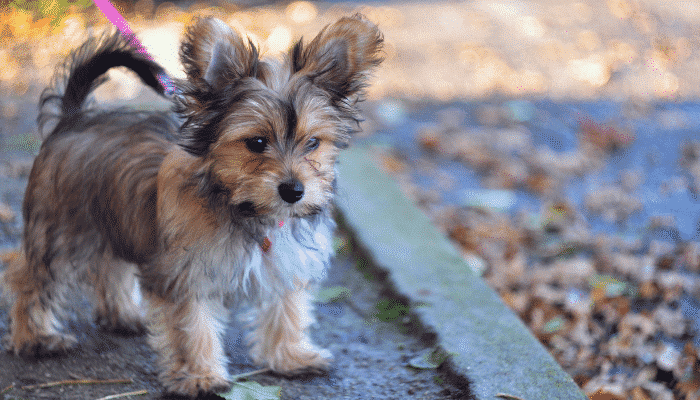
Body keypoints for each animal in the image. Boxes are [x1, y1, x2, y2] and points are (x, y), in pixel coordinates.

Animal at [2, 15, 382, 396]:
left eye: (313, 143)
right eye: (257, 142)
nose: (293, 191)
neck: (245, 208)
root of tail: (73, 119)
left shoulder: (285, 263)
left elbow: (286, 310)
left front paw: (291, 356)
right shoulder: (186, 275)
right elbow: (192, 328)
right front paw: (199, 375)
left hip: (117, 217)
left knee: (111, 266)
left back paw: (124, 315)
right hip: (62, 231)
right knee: (30, 278)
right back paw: (36, 337)